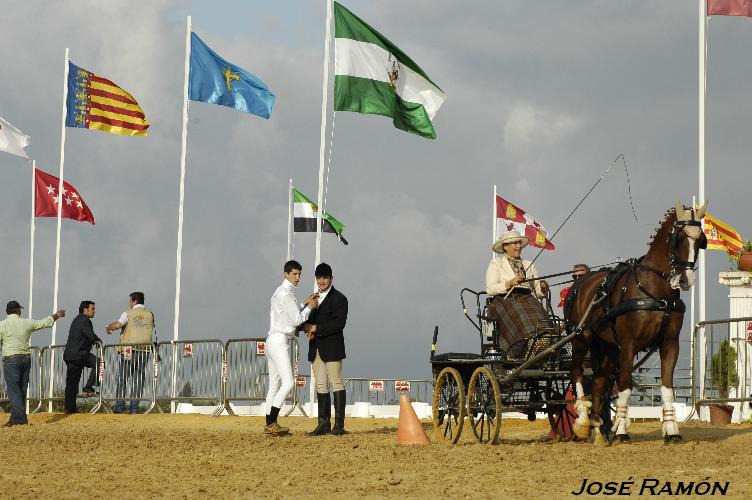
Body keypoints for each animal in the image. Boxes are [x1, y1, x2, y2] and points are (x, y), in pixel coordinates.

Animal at [568, 203, 708, 446]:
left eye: (700, 241)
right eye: (679, 239)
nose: (685, 280)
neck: (655, 292)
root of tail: (580, 283)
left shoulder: (669, 344)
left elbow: (667, 389)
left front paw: (671, 430)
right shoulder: (628, 345)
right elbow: (624, 388)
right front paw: (622, 430)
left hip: (607, 347)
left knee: (598, 382)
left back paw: (598, 429)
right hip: (580, 338)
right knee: (576, 372)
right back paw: (583, 421)